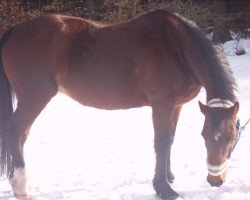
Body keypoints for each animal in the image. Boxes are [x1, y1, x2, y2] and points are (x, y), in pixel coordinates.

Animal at [0, 9, 239, 200]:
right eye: (205, 137)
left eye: (232, 138)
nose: (215, 181)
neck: (176, 46)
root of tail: (16, 30)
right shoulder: (162, 105)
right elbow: (161, 143)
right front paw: (163, 189)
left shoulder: (176, 106)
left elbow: (170, 140)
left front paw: (169, 177)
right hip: (35, 98)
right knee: (13, 130)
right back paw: (22, 188)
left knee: (21, 136)